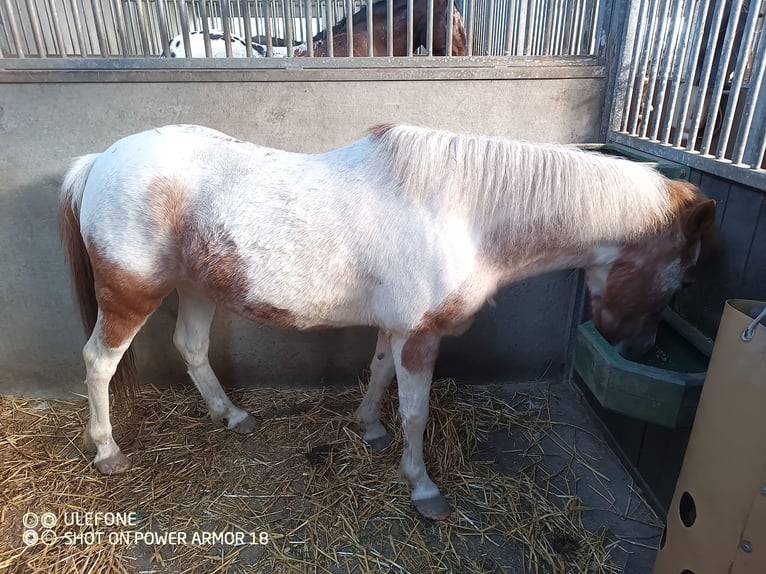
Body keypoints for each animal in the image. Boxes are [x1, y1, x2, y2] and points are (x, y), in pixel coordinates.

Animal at [60, 122, 720, 520]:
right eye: (685, 279)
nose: (637, 347)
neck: (464, 213)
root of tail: (100, 160)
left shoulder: (398, 329)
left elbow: (378, 373)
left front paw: (368, 428)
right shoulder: (422, 336)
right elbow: (416, 412)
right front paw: (422, 486)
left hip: (195, 287)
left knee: (192, 348)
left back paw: (233, 416)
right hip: (132, 294)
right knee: (98, 362)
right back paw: (108, 451)